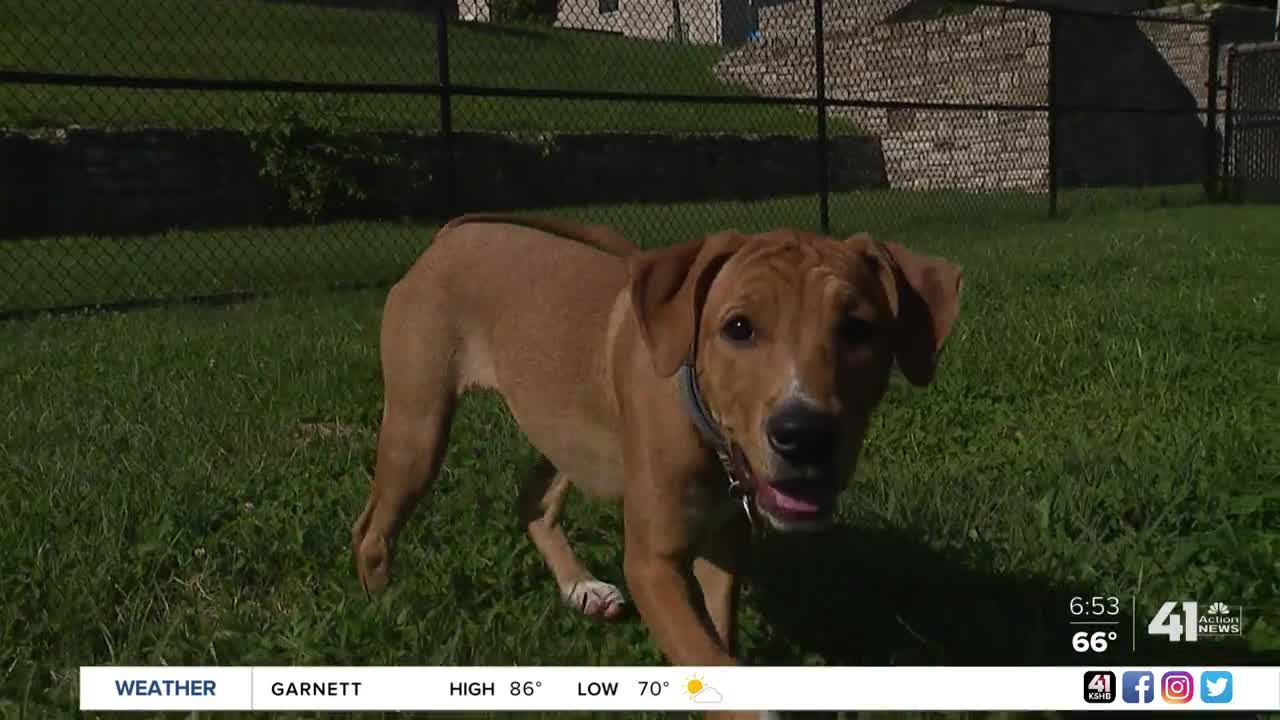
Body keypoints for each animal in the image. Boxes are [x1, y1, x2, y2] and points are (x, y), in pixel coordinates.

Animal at [350, 213, 962, 671]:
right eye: (738, 328)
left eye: (858, 329)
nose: (804, 435)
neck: (708, 430)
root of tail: (446, 237)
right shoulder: (653, 562)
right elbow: (711, 659)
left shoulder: (724, 540)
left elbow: (720, 636)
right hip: (419, 426)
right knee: (371, 526)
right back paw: (385, 609)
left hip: (570, 428)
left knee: (534, 500)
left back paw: (580, 588)